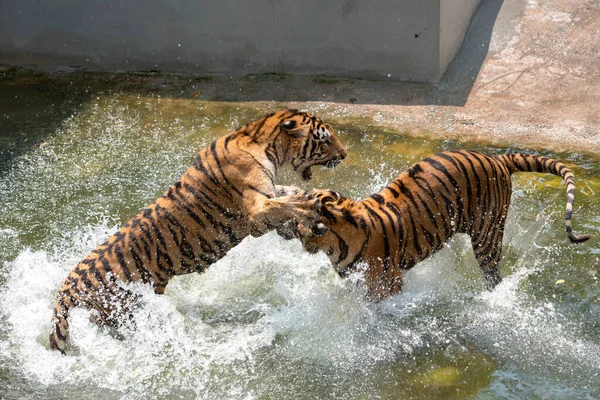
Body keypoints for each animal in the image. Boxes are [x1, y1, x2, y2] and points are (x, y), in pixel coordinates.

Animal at [49, 109, 350, 354]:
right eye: (325, 139)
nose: (344, 155)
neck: (264, 143)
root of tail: (65, 291)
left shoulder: (268, 193)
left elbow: (289, 193)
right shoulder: (255, 211)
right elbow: (286, 203)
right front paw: (309, 207)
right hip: (124, 311)